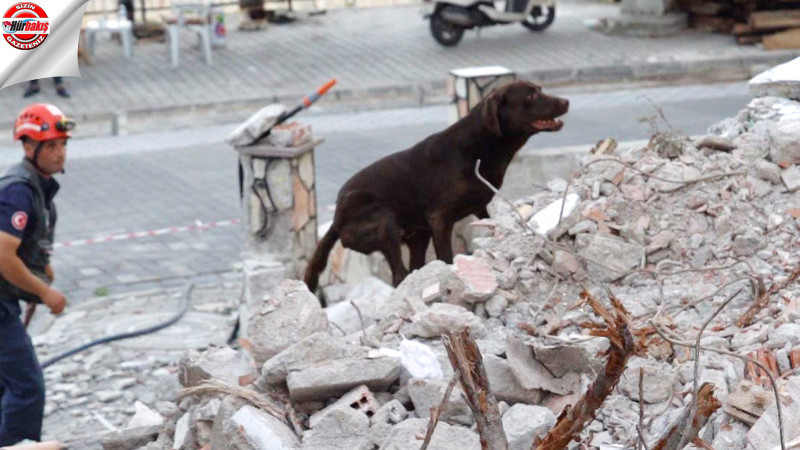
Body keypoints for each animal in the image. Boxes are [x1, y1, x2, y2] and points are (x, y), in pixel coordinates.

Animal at [304, 81, 568, 300]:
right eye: (531, 94)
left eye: (539, 89)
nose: (566, 101)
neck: (478, 146)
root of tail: (336, 221)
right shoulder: (439, 219)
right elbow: (446, 257)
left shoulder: (482, 207)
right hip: (383, 221)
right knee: (399, 274)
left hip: (417, 236)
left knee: (413, 269)